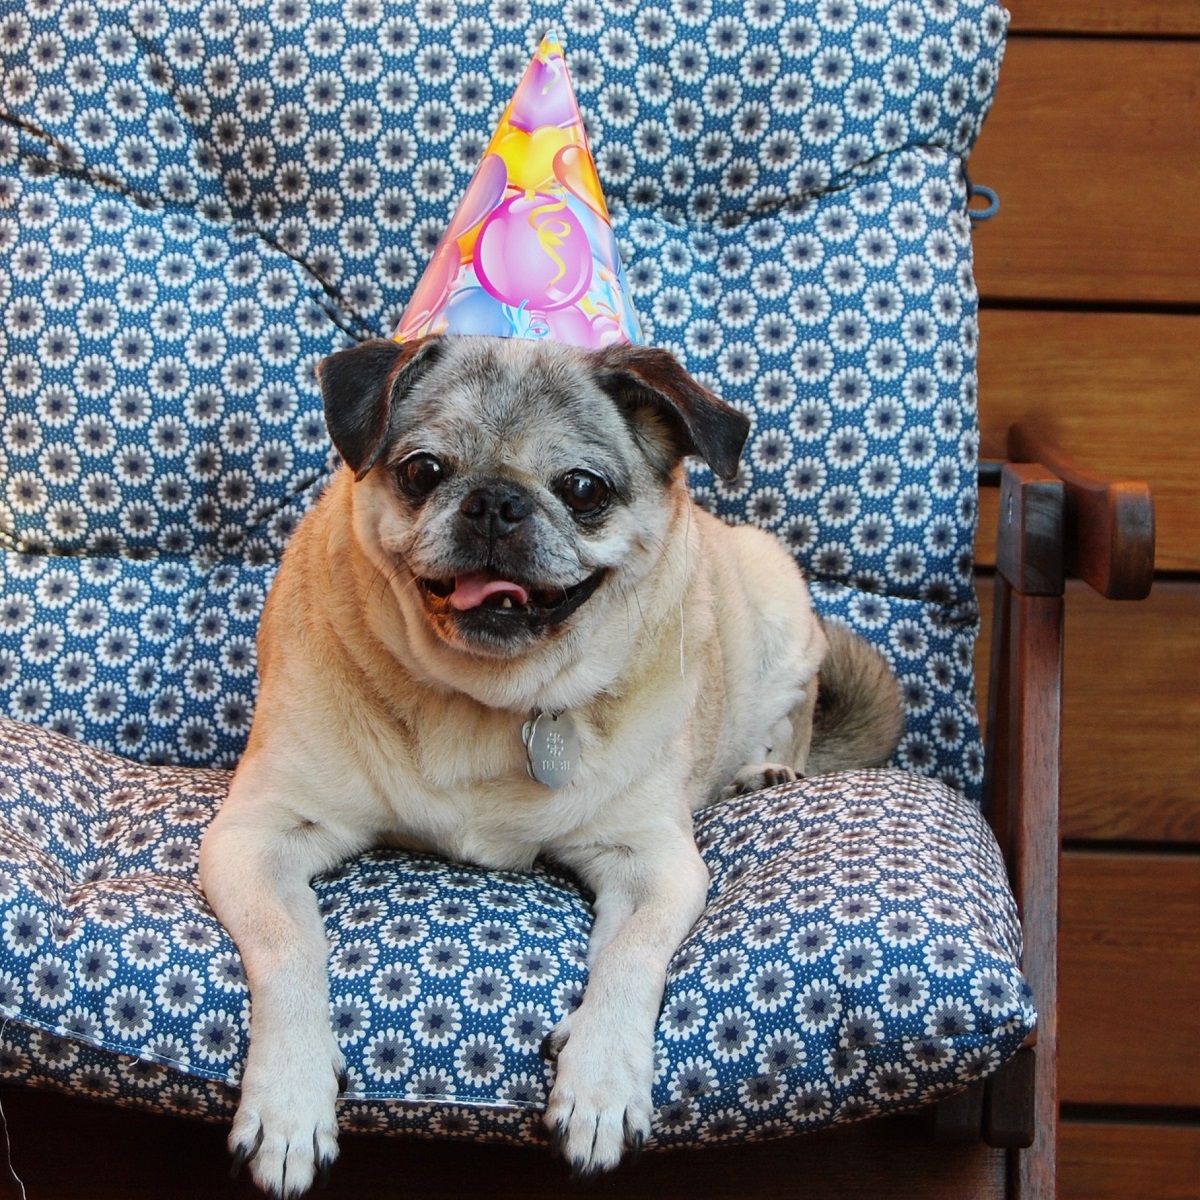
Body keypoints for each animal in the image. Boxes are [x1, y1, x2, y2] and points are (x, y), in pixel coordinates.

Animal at [199, 333, 902, 1195]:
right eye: (422, 472)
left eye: (582, 489)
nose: (496, 503)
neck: (485, 700)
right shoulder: (258, 836)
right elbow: (289, 948)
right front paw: (291, 1099)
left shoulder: (653, 863)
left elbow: (632, 959)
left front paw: (600, 1081)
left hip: (778, 602)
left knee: (793, 720)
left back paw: (767, 772)